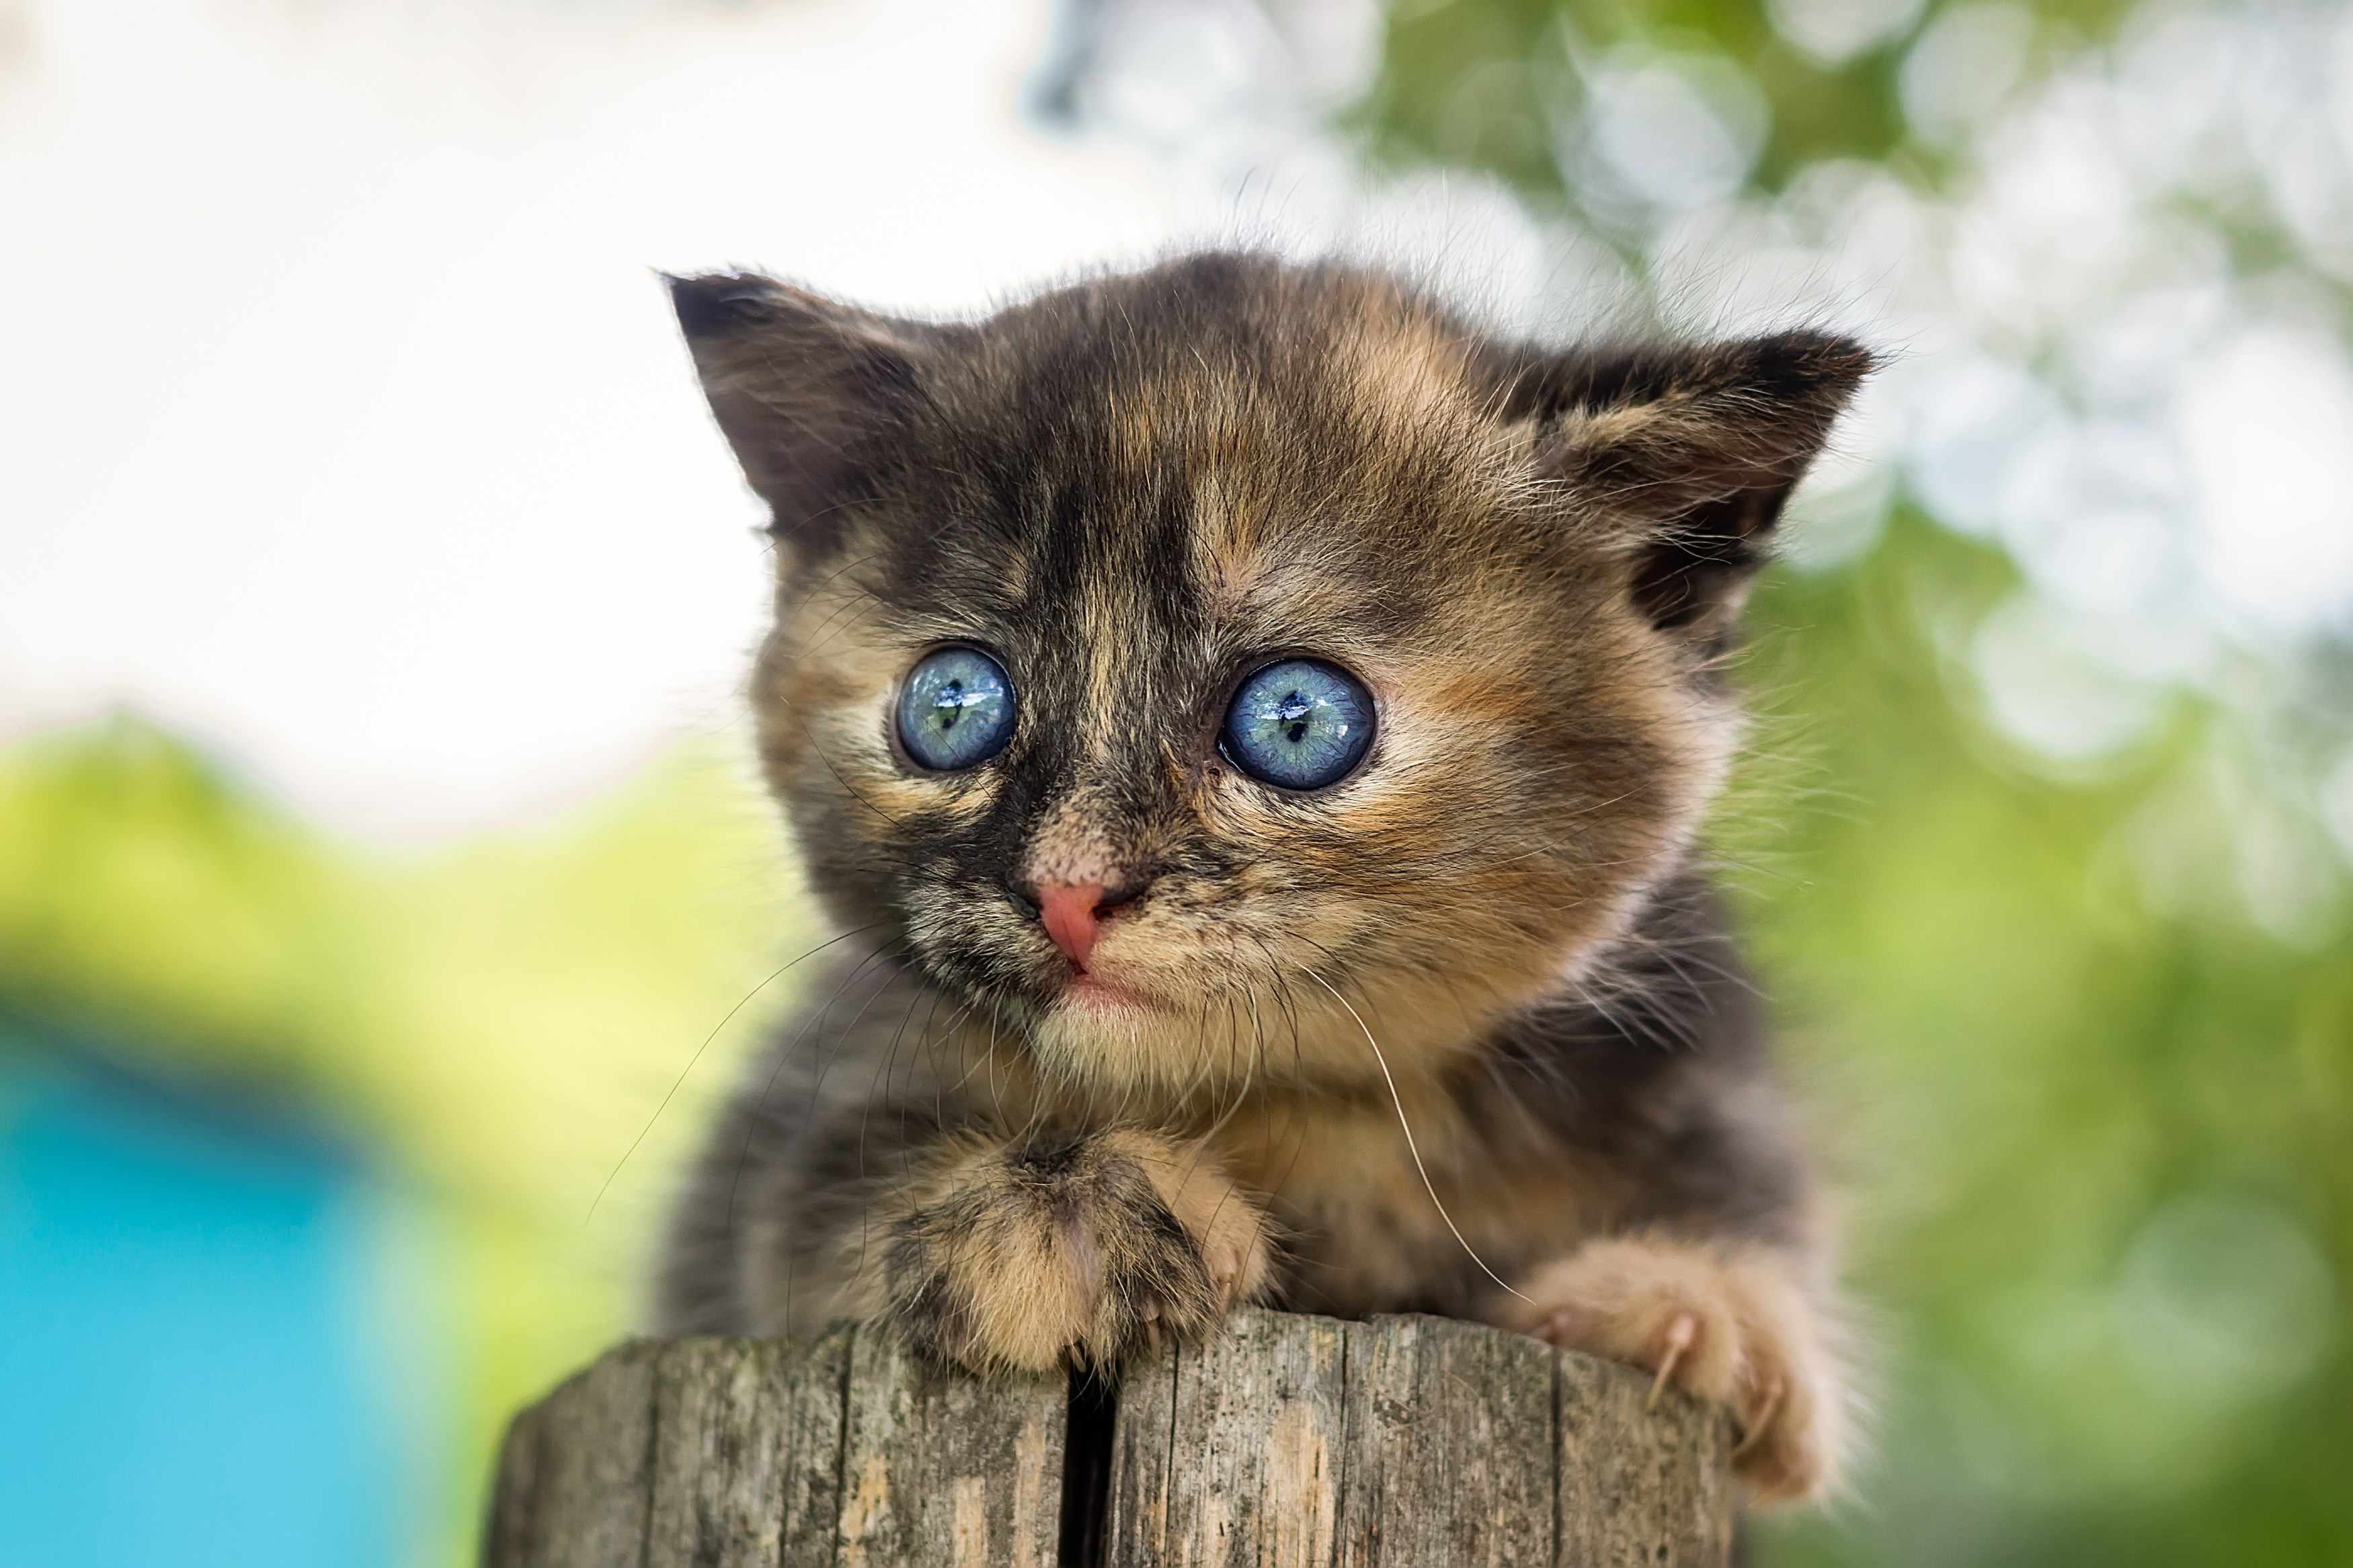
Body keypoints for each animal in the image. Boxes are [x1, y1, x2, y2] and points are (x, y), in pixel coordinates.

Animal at [659, 251, 1873, 1504]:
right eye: (953, 705)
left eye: (1298, 720)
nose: (1068, 889)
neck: (1316, 1109)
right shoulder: (789, 1134)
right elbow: (813, 1193)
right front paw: (1053, 1210)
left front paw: (1702, 1304)